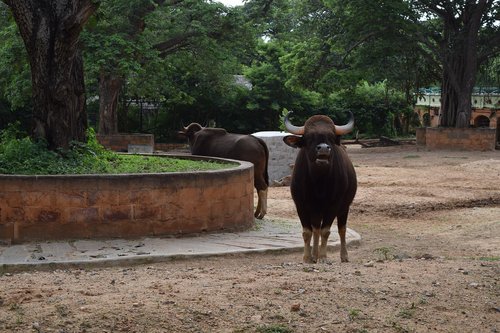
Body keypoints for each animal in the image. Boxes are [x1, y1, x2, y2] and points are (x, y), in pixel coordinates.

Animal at [284, 111, 358, 262]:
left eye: (331, 137)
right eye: (309, 138)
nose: (323, 148)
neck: (318, 183)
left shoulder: (333, 205)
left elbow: (326, 231)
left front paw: (323, 256)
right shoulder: (301, 205)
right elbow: (307, 232)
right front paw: (307, 257)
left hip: (344, 208)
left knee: (341, 229)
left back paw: (343, 255)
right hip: (316, 210)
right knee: (316, 229)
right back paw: (314, 255)